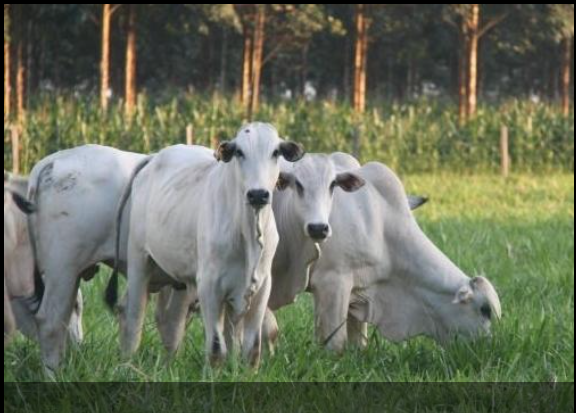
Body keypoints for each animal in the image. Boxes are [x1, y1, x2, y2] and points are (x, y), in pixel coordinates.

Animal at [109, 121, 306, 364]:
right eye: (239, 152)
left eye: (276, 152)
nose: (258, 194)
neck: (248, 233)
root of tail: (155, 156)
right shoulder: (209, 286)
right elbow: (216, 348)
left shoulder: (260, 288)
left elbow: (251, 348)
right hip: (139, 260)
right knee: (133, 314)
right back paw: (127, 360)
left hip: (180, 281)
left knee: (171, 321)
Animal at [268, 154, 500, 350]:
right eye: (485, 310)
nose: (486, 346)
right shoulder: (332, 282)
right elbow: (336, 343)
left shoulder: (358, 290)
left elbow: (359, 342)